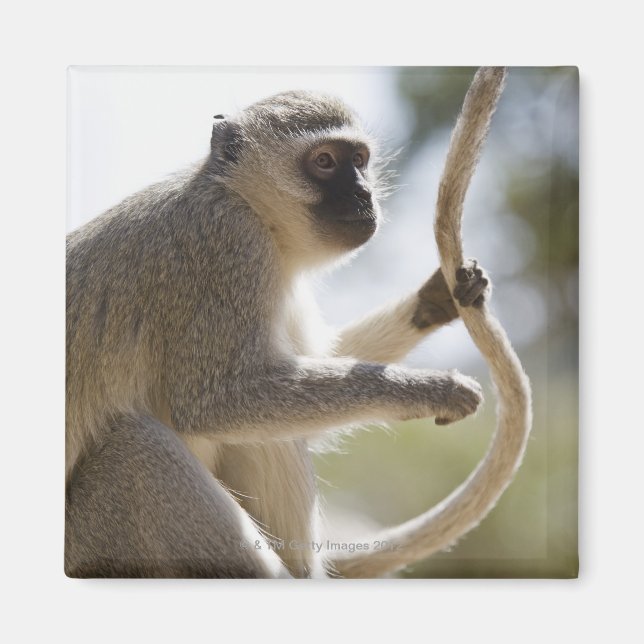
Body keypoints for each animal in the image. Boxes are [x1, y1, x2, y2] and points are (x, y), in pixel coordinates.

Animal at [65, 90, 491, 578]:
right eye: (324, 161)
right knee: (138, 447)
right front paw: (429, 390)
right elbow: (217, 401)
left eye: (359, 160)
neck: (245, 201)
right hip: (96, 541)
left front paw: (436, 298)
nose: (364, 194)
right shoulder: (228, 245)